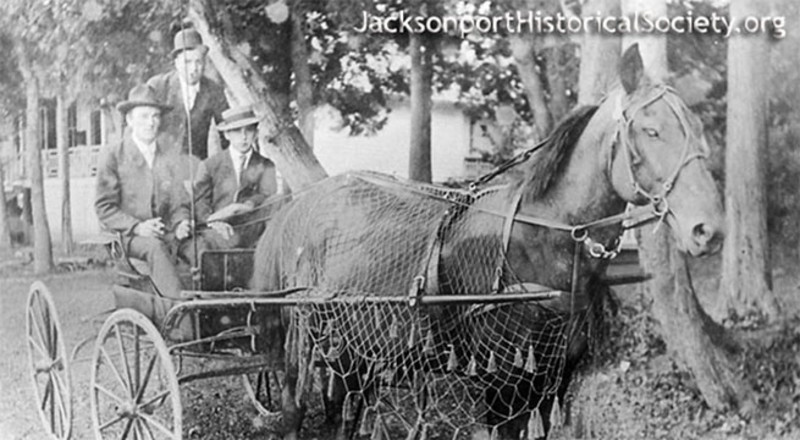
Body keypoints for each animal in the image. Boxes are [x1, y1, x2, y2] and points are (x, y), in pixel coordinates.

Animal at [251, 43, 723, 440]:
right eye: (651, 131)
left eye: (696, 127)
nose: (709, 229)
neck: (543, 237)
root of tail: (301, 203)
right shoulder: (503, 385)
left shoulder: (552, 383)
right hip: (306, 337)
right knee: (294, 410)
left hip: (355, 348)